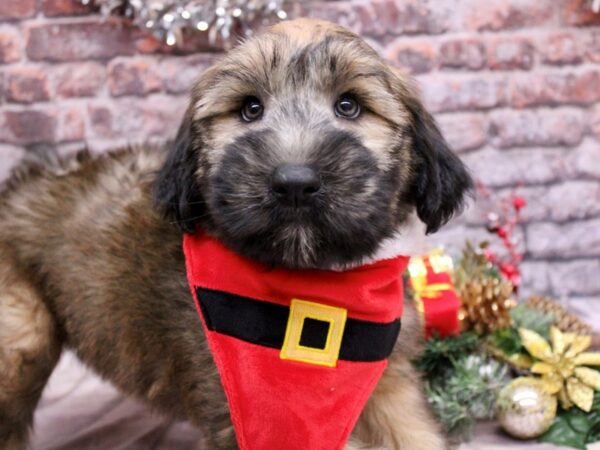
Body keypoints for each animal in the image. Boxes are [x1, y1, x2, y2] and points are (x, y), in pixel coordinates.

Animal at [0, 19, 472, 448]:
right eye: (250, 109)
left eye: (349, 106)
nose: (294, 183)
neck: (317, 289)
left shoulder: (389, 386)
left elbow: (412, 432)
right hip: (20, 339)